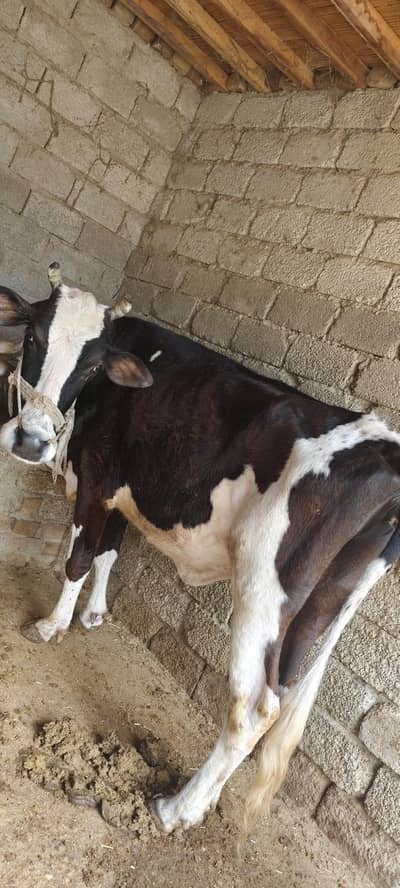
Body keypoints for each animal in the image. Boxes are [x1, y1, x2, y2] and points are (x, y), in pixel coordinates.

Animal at [1, 261, 400, 835]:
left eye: (92, 364)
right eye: (33, 335)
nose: (31, 441)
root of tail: (386, 447)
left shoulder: (97, 478)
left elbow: (79, 556)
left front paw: (52, 625)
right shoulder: (127, 486)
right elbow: (109, 552)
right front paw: (94, 615)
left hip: (264, 587)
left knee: (254, 708)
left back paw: (175, 810)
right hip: (321, 605)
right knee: (278, 694)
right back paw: (201, 803)